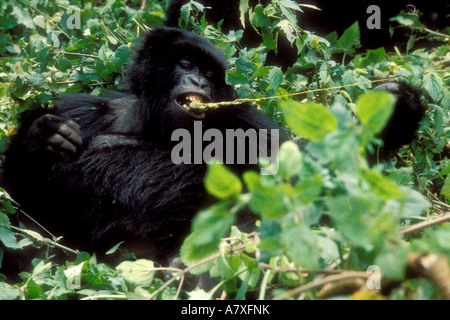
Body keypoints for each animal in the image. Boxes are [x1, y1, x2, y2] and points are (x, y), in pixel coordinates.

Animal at [0, 27, 422, 274]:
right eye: (186, 63)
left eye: (209, 73)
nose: (198, 82)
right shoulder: (83, 110)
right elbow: (24, 207)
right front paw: (39, 136)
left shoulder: (245, 119)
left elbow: (297, 177)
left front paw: (396, 111)